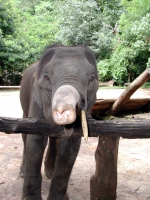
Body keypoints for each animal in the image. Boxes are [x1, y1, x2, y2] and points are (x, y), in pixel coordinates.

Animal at [19, 44, 99, 200]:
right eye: (46, 77)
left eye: (91, 79)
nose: (64, 111)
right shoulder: (36, 98)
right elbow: (35, 140)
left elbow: (70, 145)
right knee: (25, 136)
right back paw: (22, 172)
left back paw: (50, 173)